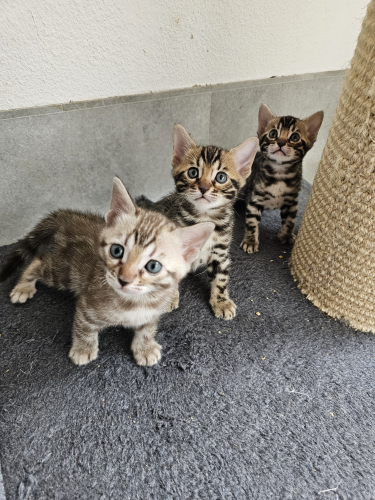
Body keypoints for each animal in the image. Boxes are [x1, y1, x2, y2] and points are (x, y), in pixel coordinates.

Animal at [0, 178, 214, 366]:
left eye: (153, 266)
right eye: (116, 250)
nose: (124, 279)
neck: (136, 302)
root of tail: (72, 218)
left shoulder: (153, 312)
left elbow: (147, 328)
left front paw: (144, 347)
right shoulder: (87, 304)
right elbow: (84, 327)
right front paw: (83, 349)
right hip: (65, 272)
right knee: (39, 260)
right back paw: (23, 287)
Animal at [137, 126, 258, 320]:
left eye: (221, 177)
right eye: (193, 172)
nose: (204, 188)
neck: (203, 217)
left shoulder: (220, 252)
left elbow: (221, 278)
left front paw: (221, 301)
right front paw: (169, 298)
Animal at [242, 105, 324, 254]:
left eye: (295, 137)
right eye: (273, 134)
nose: (280, 142)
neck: (279, 173)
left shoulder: (291, 201)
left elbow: (290, 221)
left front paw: (286, 235)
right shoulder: (255, 200)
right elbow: (251, 222)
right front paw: (250, 241)